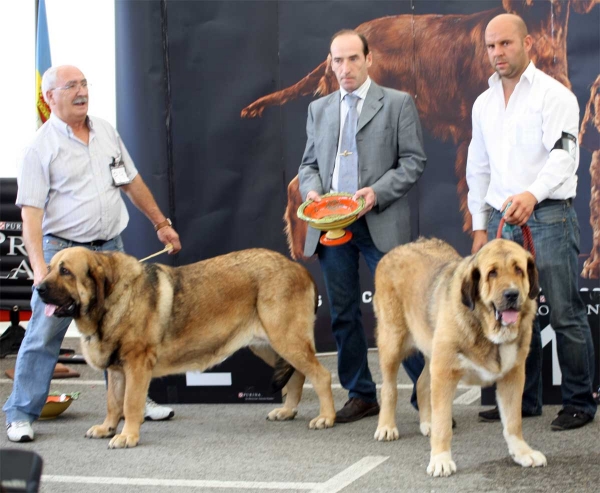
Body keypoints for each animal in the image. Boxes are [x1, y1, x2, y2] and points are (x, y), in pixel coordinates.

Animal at [37, 246, 336, 446]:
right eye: (50, 268)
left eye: (65, 271)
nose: (38, 288)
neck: (113, 297)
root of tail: (298, 267)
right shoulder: (116, 370)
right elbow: (113, 403)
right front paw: (108, 428)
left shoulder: (136, 365)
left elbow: (130, 404)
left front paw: (128, 435)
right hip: (269, 346)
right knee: (298, 375)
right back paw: (287, 410)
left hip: (286, 339)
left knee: (321, 375)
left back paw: (326, 417)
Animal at [376, 238, 548, 476]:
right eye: (492, 273)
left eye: (519, 270)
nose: (512, 294)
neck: (486, 328)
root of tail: (396, 250)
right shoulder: (444, 371)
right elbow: (443, 424)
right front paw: (440, 459)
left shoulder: (513, 375)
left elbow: (514, 421)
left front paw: (522, 453)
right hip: (393, 342)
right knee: (389, 387)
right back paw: (386, 426)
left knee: (421, 384)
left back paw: (427, 422)